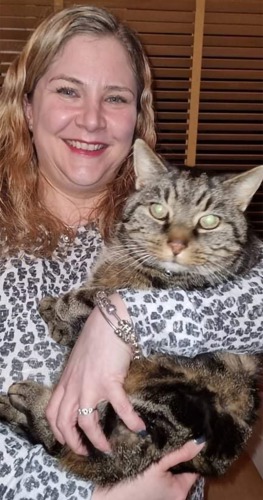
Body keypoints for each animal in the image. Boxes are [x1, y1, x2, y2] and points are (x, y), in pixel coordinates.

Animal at [0, 139, 263, 486]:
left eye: (209, 221)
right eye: (158, 210)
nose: (177, 244)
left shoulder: (143, 288)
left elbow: (87, 296)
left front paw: (58, 309)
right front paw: (57, 319)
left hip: (164, 409)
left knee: (78, 441)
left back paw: (26, 397)